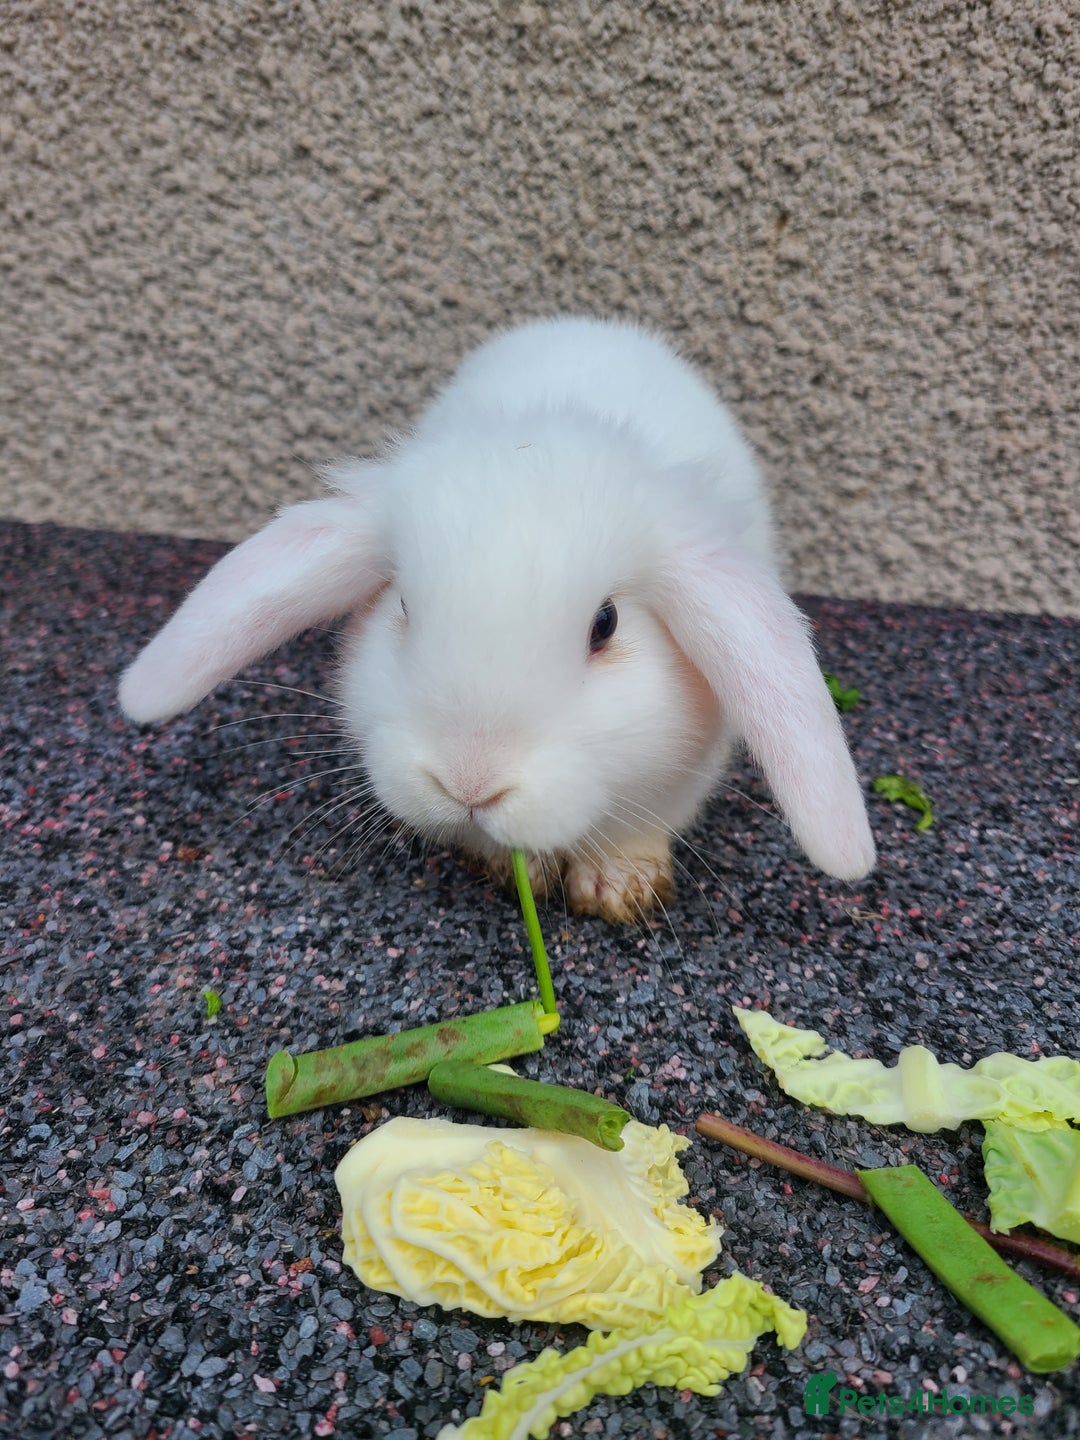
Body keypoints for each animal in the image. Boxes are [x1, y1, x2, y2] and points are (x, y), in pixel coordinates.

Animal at [119, 315, 876, 923]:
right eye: (401, 606)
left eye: (606, 625)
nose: (469, 784)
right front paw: (515, 867)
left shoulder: (681, 775)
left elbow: (642, 826)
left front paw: (619, 886)